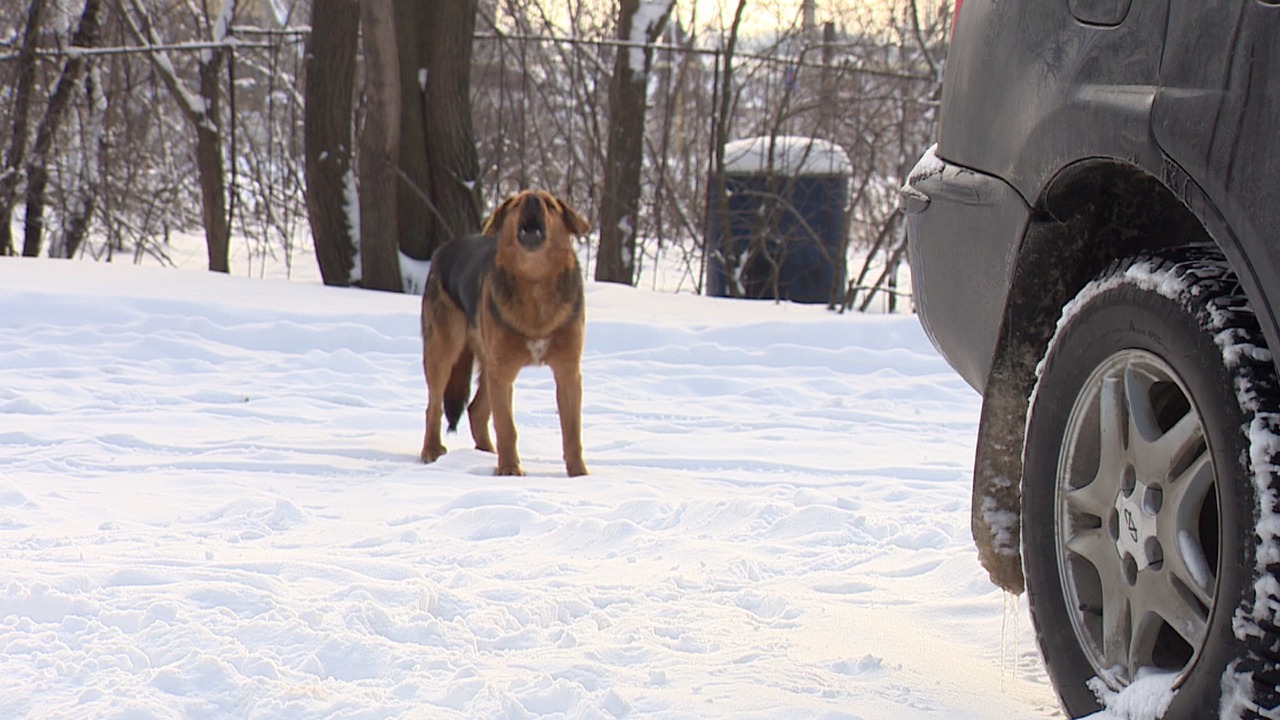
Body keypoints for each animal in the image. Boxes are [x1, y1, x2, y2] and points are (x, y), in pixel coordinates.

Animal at [424, 188, 593, 474]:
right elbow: (506, 427)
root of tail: (443, 249)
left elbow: (572, 432)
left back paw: (484, 453)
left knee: (476, 410)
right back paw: (431, 452)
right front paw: (510, 470)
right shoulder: (503, 370)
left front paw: (579, 475)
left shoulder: (568, 371)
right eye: (516, 203)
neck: (536, 283)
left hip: (487, 364)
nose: (532, 198)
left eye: (550, 204)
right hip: (443, 353)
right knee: (433, 407)